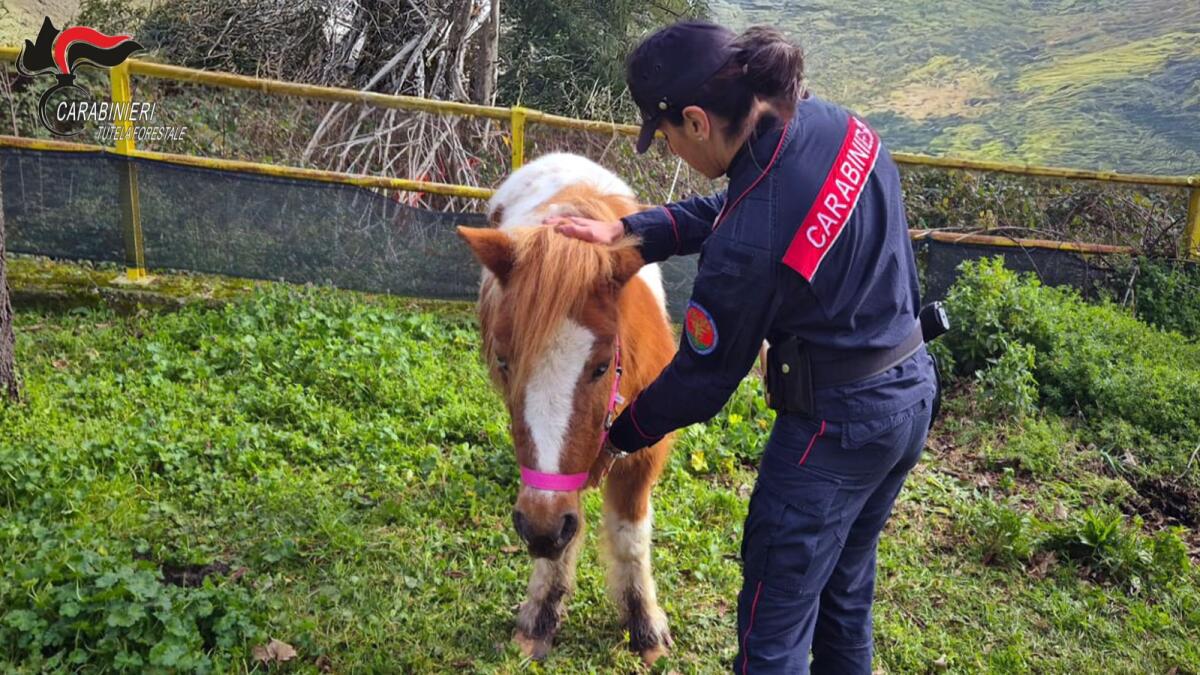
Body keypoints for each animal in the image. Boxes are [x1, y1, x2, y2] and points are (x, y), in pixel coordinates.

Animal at [456, 153, 678, 664]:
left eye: (600, 366)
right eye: (504, 361)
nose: (537, 528)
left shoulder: (644, 452)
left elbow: (630, 538)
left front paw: (645, 625)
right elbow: (560, 543)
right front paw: (540, 619)